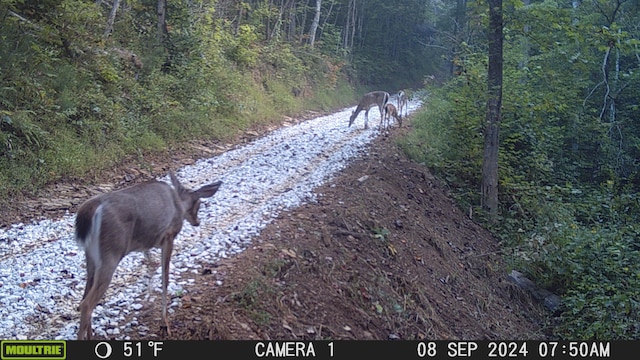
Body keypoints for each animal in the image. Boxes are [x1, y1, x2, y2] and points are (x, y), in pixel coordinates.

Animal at [75, 172, 222, 340]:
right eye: (199, 203)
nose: (197, 222)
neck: (178, 203)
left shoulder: (146, 243)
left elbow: (151, 268)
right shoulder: (168, 236)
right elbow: (165, 278)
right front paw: (164, 324)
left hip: (91, 256)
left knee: (85, 295)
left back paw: (91, 336)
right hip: (111, 251)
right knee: (86, 303)